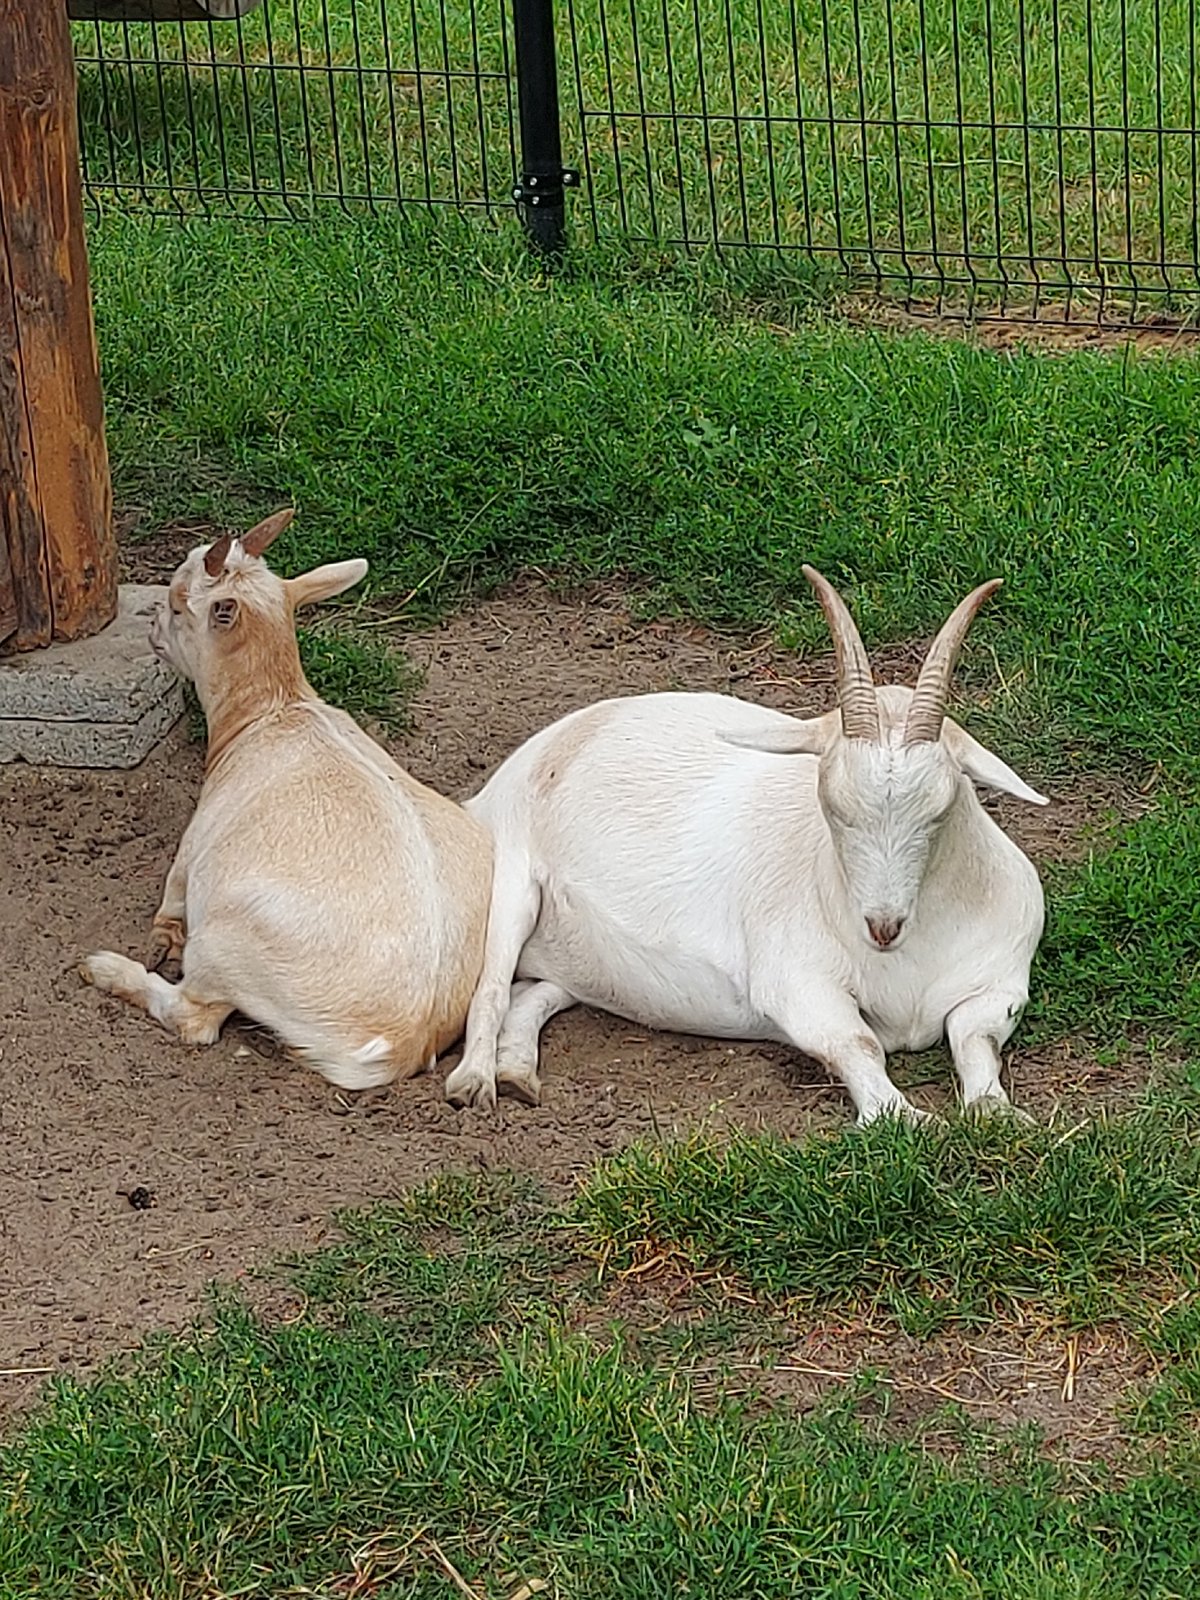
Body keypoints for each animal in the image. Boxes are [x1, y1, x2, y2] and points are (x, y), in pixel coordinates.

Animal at [82, 509, 492, 1090]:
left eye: (179, 602)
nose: (153, 626)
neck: (272, 709)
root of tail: (402, 1040)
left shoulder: (191, 853)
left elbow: (170, 906)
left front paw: (159, 942)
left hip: (225, 945)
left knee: (194, 1017)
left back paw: (108, 969)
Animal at [445, 567, 1047, 1125]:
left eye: (941, 809)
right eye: (833, 806)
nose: (883, 927)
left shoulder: (1001, 984)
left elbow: (973, 1038)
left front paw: (999, 1112)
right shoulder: (796, 984)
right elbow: (855, 1042)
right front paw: (905, 1118)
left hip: (576, 961)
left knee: (537, 992)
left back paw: (517, 1071)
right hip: (510, 878)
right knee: (491, 987)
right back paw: (474, 1082)